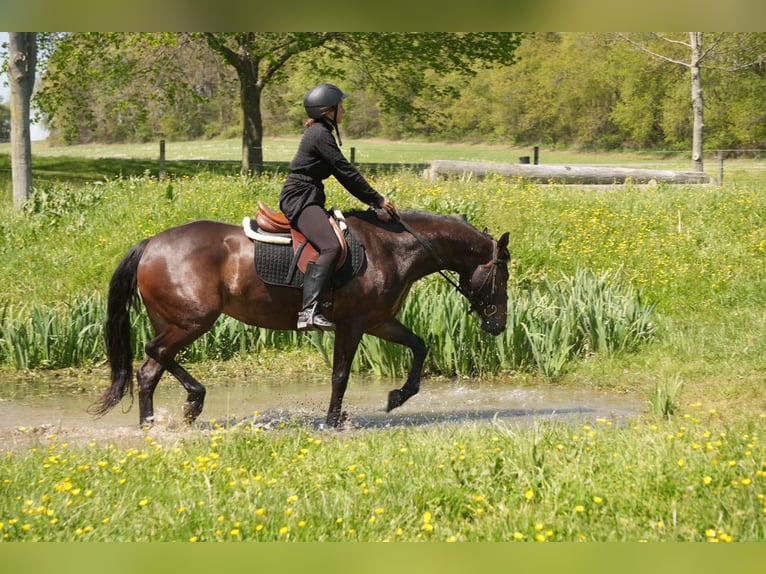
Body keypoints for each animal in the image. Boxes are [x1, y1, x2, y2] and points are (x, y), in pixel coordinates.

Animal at [90, 208, 511, 428]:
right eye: (503, 274)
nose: (499, 325)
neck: (392, 248)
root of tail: (152, 244)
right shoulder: (354, 325)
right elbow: (340, 374)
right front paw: (332, 420)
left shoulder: (379, 322)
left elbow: (420, 346)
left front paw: (397, 397)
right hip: (192, 321)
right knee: (154, 354)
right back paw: (190, 401)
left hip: (175, 322)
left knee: (150, 368)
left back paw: (158, 421)